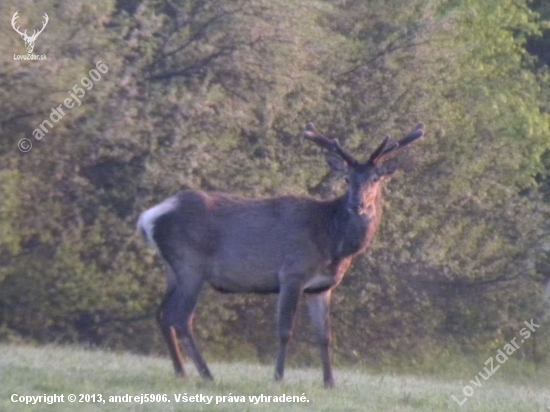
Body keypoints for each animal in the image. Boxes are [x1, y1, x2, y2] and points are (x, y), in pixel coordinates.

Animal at [138, 121, 426, 386]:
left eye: (375, 179)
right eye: (347, 179)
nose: (357, 204)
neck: (332, 243)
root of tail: (148, 217)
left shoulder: (321, 287)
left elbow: (324, 335)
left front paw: (330, 382)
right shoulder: (292, 274)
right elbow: (285, 330)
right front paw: (278, 377)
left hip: (172, 268)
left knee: (162, 315)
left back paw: (182, 372)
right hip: (191, 264)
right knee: (181, 318)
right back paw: (206, 374)